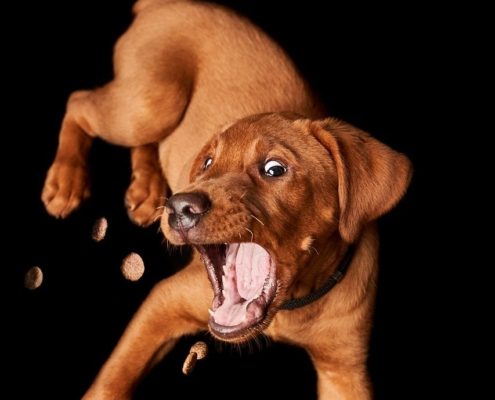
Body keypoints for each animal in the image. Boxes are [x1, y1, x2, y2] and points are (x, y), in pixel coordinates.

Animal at [42, 1, 412, 398]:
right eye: (206, 164)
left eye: (274, 169)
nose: (179, 207)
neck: (291, 307)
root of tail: (165, 3)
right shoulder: (165, 300)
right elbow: (112, 380)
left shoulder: (343, 370)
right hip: (149, 102)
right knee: (79, 101)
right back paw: (66, 180)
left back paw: (146, 190)